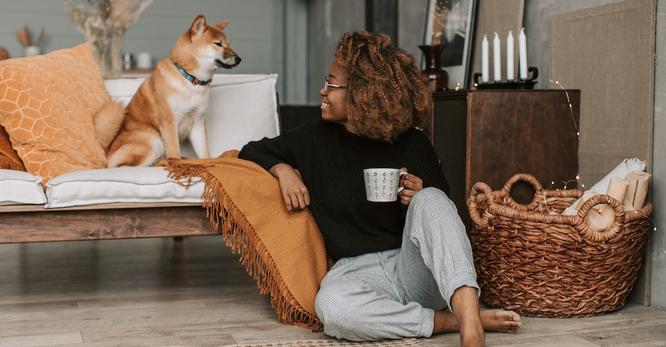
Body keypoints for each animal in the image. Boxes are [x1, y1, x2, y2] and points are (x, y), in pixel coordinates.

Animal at [98, 15, 241, 169]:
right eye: (218, 44)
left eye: (229, 44)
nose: (239, 59)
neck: (190, 80)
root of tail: (106, 154)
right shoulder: (169, 123)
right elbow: (174, 152)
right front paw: (177, 164)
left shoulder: (197, 125)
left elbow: (205, 154)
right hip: (153, 140)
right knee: (126, 167)